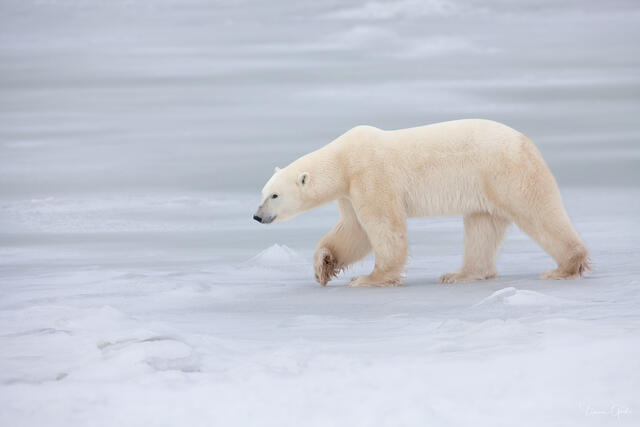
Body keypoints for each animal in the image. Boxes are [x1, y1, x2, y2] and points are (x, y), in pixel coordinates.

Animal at [253, 119, 591, 287]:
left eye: (274, 196)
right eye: (262, 192)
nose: (257, 217)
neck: (343, 159)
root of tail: (528, 142)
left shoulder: (371, 175)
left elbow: (382, 227)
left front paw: (369, 278)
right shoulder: (349, 192)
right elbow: (354, 232)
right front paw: (322, 265)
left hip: (507, 172)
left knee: (538, 212)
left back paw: (565, 267)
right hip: (484, 188)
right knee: (482, 227)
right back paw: (459, 274)